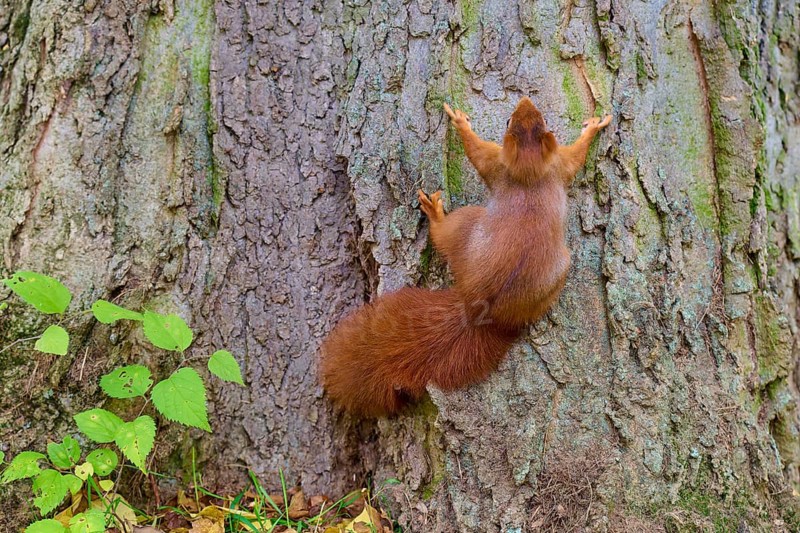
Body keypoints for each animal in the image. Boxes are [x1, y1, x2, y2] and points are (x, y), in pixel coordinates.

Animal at [321, 97, 612, 417]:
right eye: (515, 120)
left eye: (537, 119)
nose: (525, 100)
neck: (529, 167)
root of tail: (478, 310)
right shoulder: (554, 164)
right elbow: (574, 157)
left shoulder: (526, 164)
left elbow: (479, 152)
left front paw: (460, 123)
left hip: (466, 222)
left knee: (442, 234)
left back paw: (435, 213)